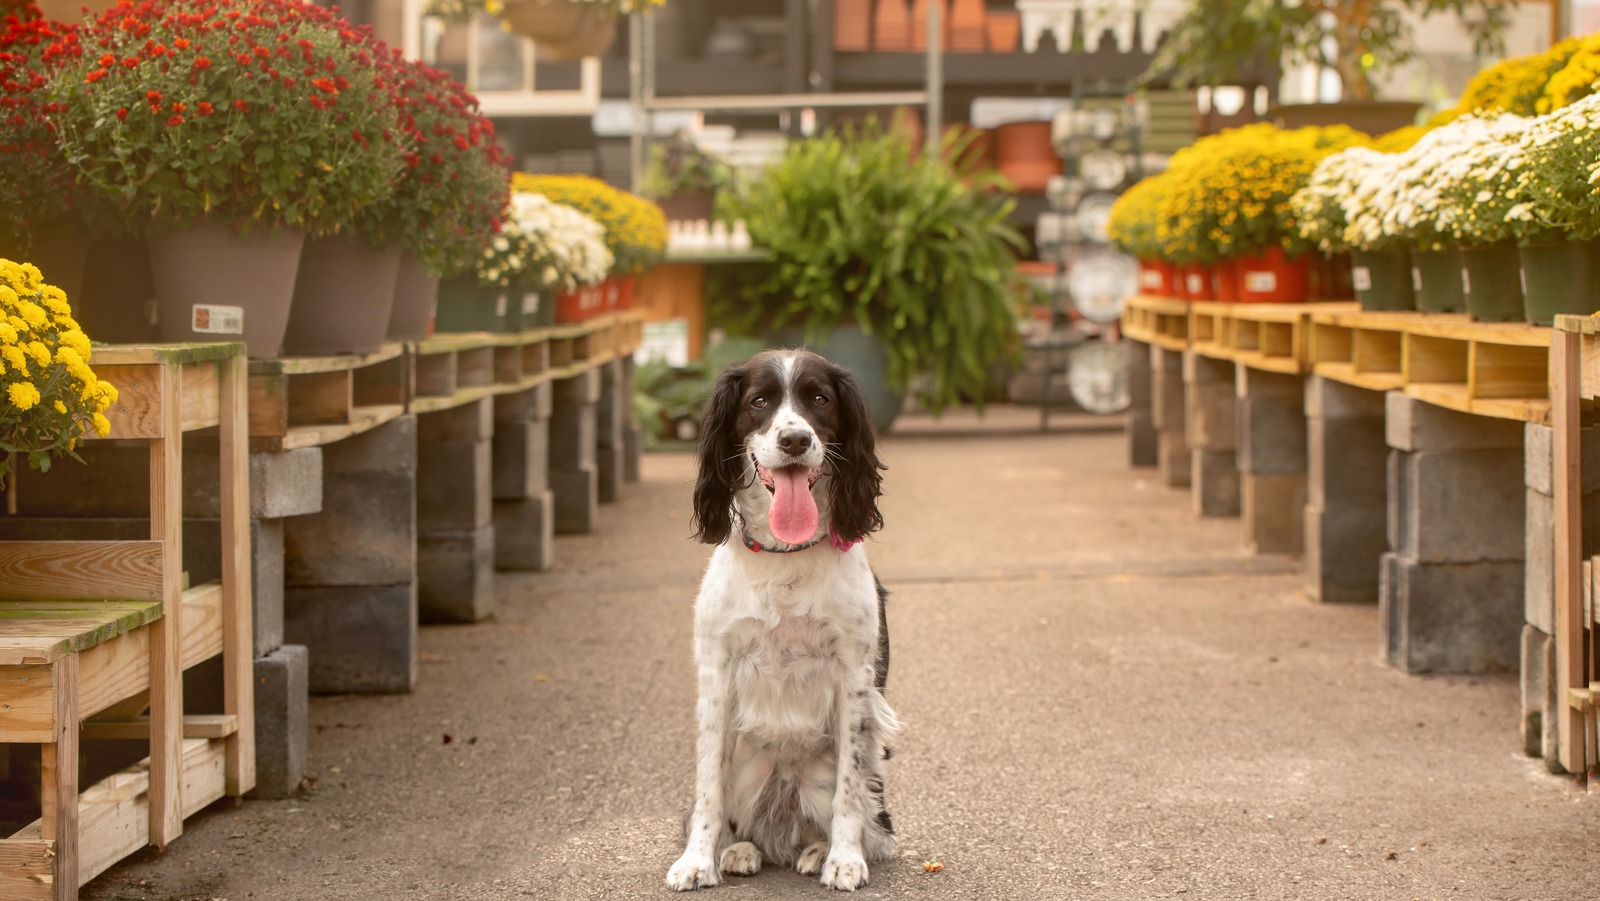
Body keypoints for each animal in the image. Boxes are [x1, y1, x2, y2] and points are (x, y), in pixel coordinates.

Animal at [665, 348, 902, 889]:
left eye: (819, 399)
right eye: (758, 401)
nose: (795, 440)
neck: (785, 554)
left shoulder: (854, 678)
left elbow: (848, 789)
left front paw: (843, 860)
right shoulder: (717, 673)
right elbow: (707, 787)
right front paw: (697, 861)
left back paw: (816, 850)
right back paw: (739, 850)